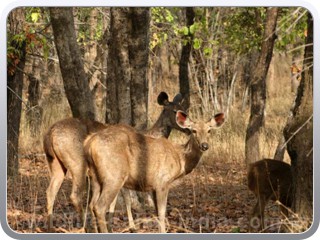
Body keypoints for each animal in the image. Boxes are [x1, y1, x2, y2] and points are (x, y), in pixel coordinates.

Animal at [43, 91, 186, 232]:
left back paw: (51, 228)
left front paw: (112, 226)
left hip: (55, 163)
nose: (186, 126)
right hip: (78, 162)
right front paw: (131, 226)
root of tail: (49, 134)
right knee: (75, 196)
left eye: (183, 108)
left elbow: (116, 201)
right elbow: (126, 199)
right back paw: (87, 227)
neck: (148, 136)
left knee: (50, 191)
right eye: (175, 111)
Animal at [84, 109, 225, 232]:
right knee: (100, 207)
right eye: (193, 130)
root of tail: (89, 143)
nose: (204, 145)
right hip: (114, 175)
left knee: (91, 205)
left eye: (209, 130)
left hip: (95, 177)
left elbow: (157, 213)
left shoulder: (152, 186)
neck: (180, 158)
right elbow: (162, 213)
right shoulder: (162, 181)